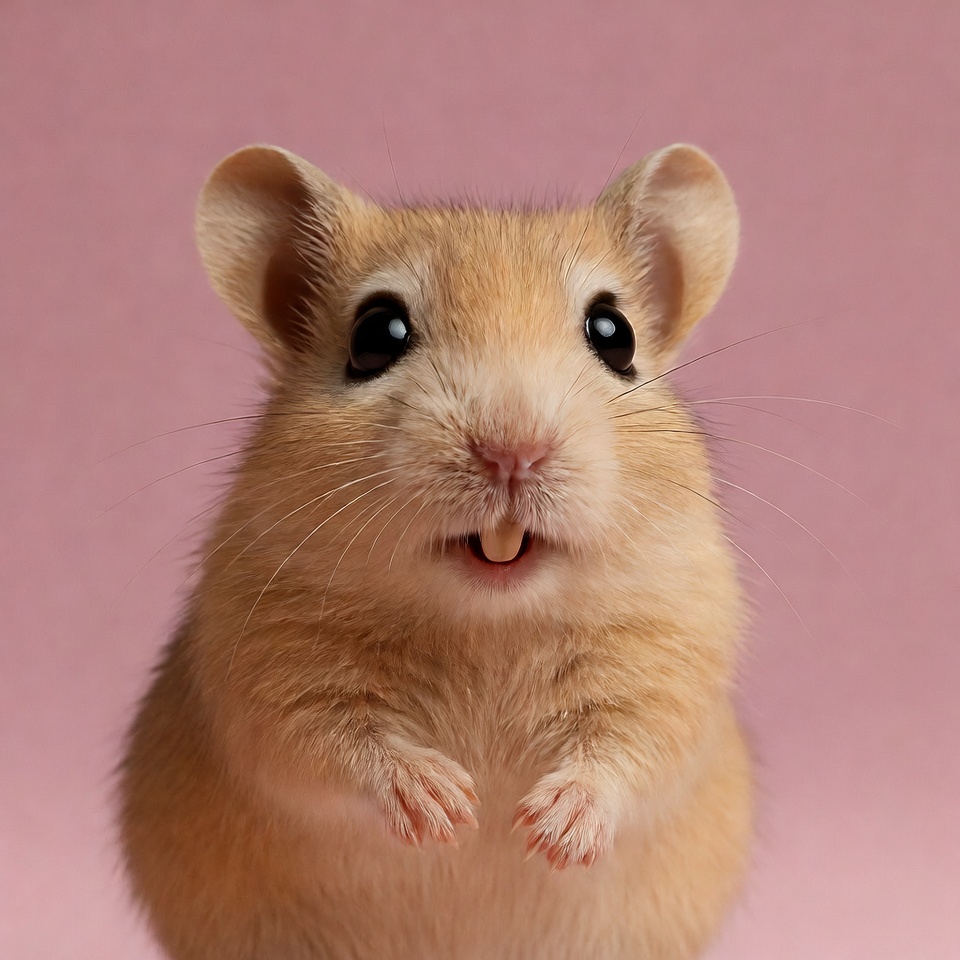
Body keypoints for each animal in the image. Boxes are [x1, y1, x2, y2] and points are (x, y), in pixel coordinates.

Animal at [118, 142, 752, 960]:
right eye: (376, 335)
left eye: (614, 334)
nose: (513, 451)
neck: (489, 620)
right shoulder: (268, 669)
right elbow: (339, 741)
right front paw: (448, 807)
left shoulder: (669, 658)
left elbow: (626, 750)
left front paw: (546, 829)